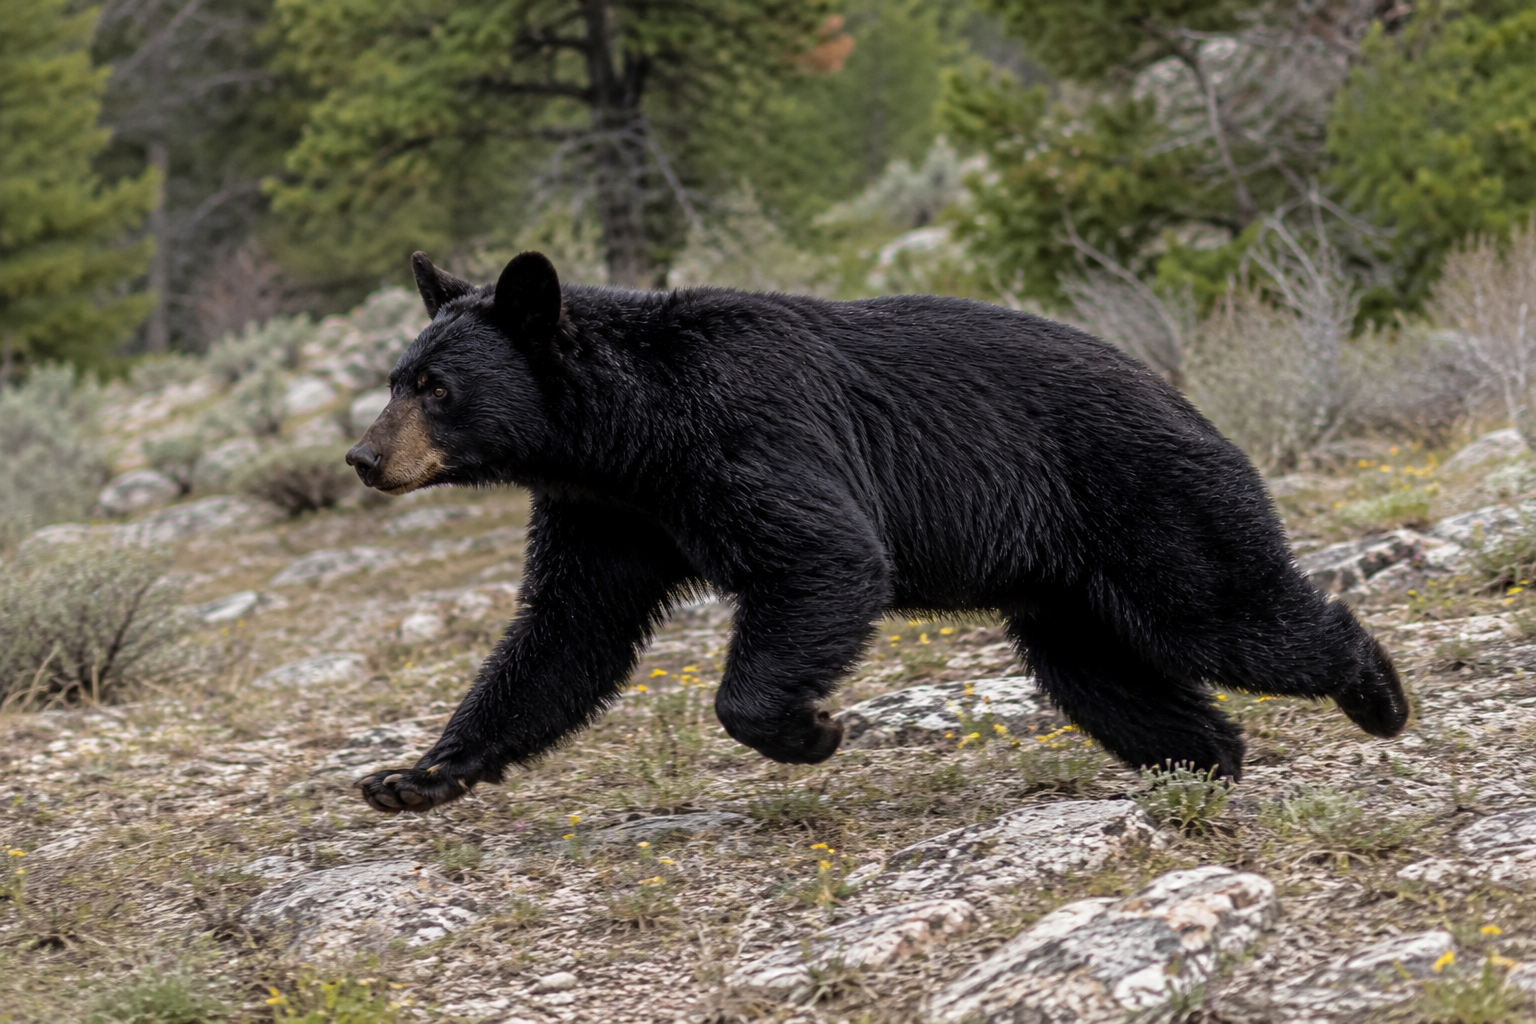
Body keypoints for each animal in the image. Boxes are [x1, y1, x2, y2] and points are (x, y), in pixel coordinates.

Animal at [345, 250, 1410, 814]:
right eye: (397, 377)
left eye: (434, 388)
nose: (363, 456)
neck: (624, 437)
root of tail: (1187, 398)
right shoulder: (609, 514)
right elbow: (566, 636)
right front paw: (416, 775)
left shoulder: (742, 436)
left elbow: (824, 555)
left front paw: (809, 731)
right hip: (1065, 589)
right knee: (1105, 674)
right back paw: (1203, 760)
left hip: (1150, 502)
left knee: (1224, 614)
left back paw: (1377, 694)